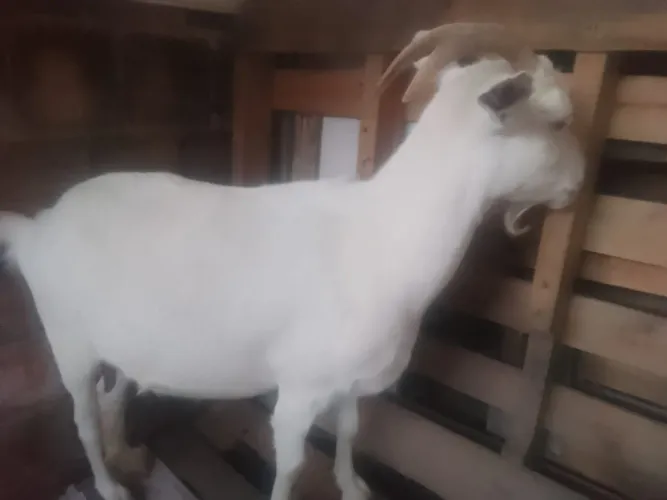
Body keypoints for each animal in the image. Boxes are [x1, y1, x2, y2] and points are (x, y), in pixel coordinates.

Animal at [0, 23, 584, 500]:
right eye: (557, 122)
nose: (579, 183)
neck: (382, 239)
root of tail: (38, 226)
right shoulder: (301, 391)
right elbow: (292, 467)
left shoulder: (351, 379)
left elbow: (351, 430)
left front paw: (353, 486)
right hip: (68, 340)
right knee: (82, 417)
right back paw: (108, 484)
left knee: (112, 399)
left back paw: (126, 455)